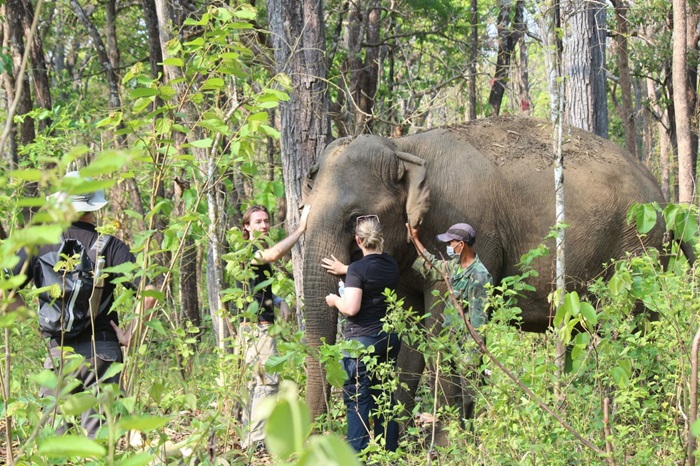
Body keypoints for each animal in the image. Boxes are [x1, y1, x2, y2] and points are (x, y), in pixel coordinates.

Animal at [298, 114, 664, 424]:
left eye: (354, 218)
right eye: (305, 208)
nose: (315, 435)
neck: (404, 147)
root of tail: (658, 189)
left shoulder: (465, 224)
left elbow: (443, 328)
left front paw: (448, 445)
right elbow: (412, 334)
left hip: (635, 251)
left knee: (628, 331)